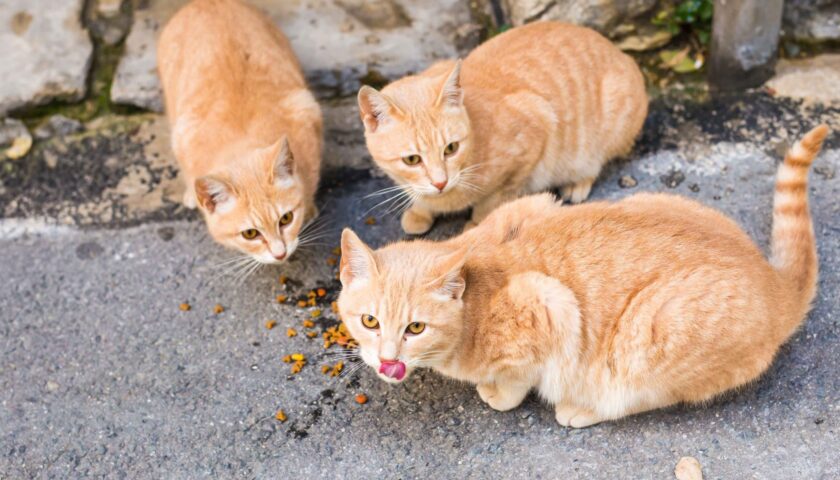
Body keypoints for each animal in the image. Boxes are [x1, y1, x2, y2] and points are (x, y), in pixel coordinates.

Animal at [158, 0, 322, 264]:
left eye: (286, 219)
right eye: (250, 234)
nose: (280, 254)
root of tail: (207, 2)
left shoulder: (306, 110)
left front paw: (308, 207)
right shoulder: (183, 135)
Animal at [336, 126, 828, 428]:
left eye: (416, 327)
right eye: (370, 322)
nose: (387, 360)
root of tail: (773, 283)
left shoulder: (549, 306)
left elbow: (518, 377)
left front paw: (498, 393)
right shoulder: (530, 204)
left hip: (650, 332)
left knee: (638, 395)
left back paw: (581, 408)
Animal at [358, 20, 648, 234]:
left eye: (451, 148)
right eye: (412, 159)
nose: (441, 182)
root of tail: (621, 53)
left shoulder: (534, 132)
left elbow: (492, 199)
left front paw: (478, 222)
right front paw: (419, 209)